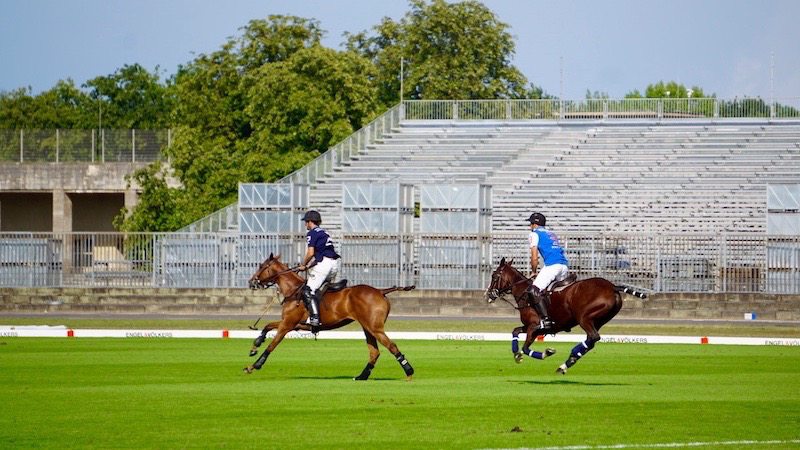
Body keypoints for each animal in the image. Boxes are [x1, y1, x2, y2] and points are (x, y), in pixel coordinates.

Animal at [245, 253, 418, 380]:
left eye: (261, 266)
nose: (251, 282)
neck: (293, 291)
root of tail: (380, 291)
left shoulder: (287, 324)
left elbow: (272, 345)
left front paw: (253, 366)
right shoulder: (294, 324)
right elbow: (267, 326)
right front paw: (255, 346)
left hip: (375, 327)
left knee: (392, 346)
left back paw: (409, 372)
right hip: (367, 327)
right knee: (374, 352)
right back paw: (362, 376)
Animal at [482, 256, 644, 372]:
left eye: (494, 276)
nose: (488, 295)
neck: (524, 294)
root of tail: (612, 287)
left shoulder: (534, 326)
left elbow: (526, 348)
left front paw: (546, 352)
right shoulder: (533, 327)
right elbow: (515, 331)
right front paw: (517, 355)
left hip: (584, 318)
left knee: (593, 337)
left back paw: (570, 357)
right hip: (598, 320)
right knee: (591, 340)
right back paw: (568, 362)